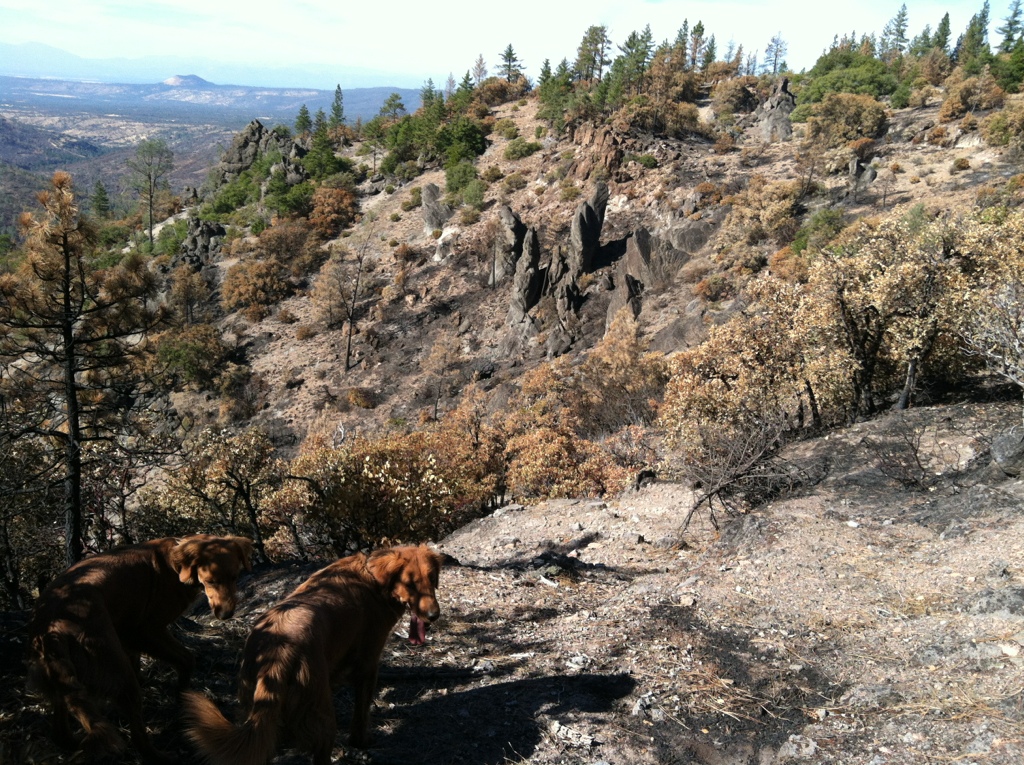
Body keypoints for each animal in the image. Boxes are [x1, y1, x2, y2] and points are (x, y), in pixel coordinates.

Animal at [27, 534, 254, 764]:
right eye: (210, 581)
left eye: (235, 577)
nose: (226, 615)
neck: (174, 565)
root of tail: (53, 629)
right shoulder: (144, 631)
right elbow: (186, 659)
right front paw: (181, 695)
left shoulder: (129, 637)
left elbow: (145, 662)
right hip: (117, 672)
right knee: (137, 735)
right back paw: (160, 756)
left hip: (60, 680)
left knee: (60, 732)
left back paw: (76, 744)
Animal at [185, 544, 443, 765]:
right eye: (410, 584)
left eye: (432, 579)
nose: (434, 616)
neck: (374, 580)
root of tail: (276, 655)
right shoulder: (369, 665)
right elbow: (362, 712)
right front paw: (362, 741)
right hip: (322, 714)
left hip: (260, 717)